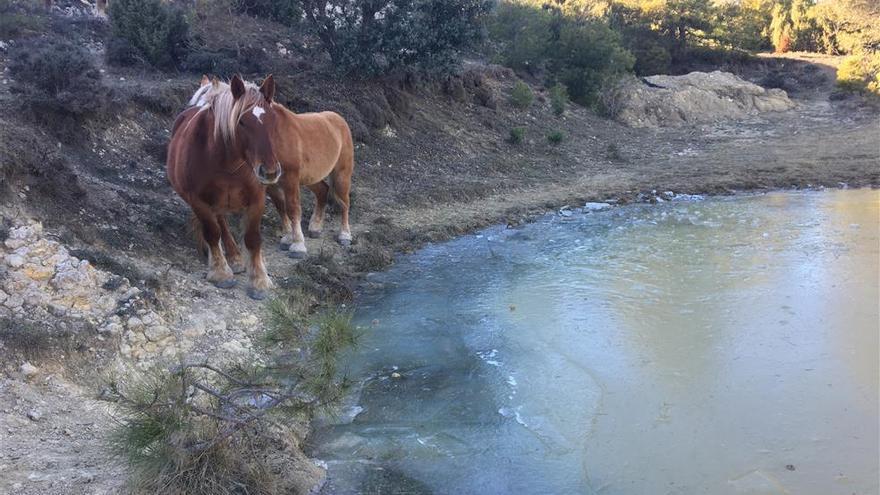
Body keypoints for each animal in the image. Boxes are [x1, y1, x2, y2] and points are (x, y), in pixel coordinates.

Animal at [168, 73, 282, 298]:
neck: (228, 165)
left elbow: (253, 238)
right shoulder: (198, 201)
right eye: (242, 122)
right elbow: (212, 233)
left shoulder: (257, 200)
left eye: (273, 120)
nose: (270, 171)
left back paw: (237, 257)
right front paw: (220, 272)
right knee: (219, 224)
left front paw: (259, 280)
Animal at [186, 76, 354, 260]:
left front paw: (298, 245)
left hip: (341, 175)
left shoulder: (290, 179)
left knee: (344, 202)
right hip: (310, 177)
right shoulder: (269, 180)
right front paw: (288, 237)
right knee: (322, 191)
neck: (274, 138)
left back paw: (345, 235)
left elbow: (293, 208)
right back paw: (315, 227)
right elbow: (281, 206)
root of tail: (338, 119)